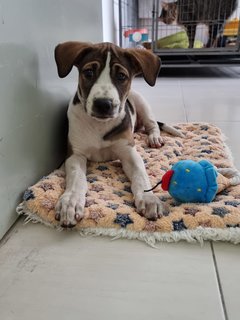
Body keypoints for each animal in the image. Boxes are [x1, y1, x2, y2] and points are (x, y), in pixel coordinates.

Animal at [54, 42, 182, 228]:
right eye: (88, 73)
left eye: (121, 76)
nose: (103, 104)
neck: (99, 124)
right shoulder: (75, 155)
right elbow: (76, 178)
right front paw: (70, 202)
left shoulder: (129, 153)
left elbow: (140, 175)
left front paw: (148, 198)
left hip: (142, 103)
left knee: (152, 125)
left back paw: (154, 138)